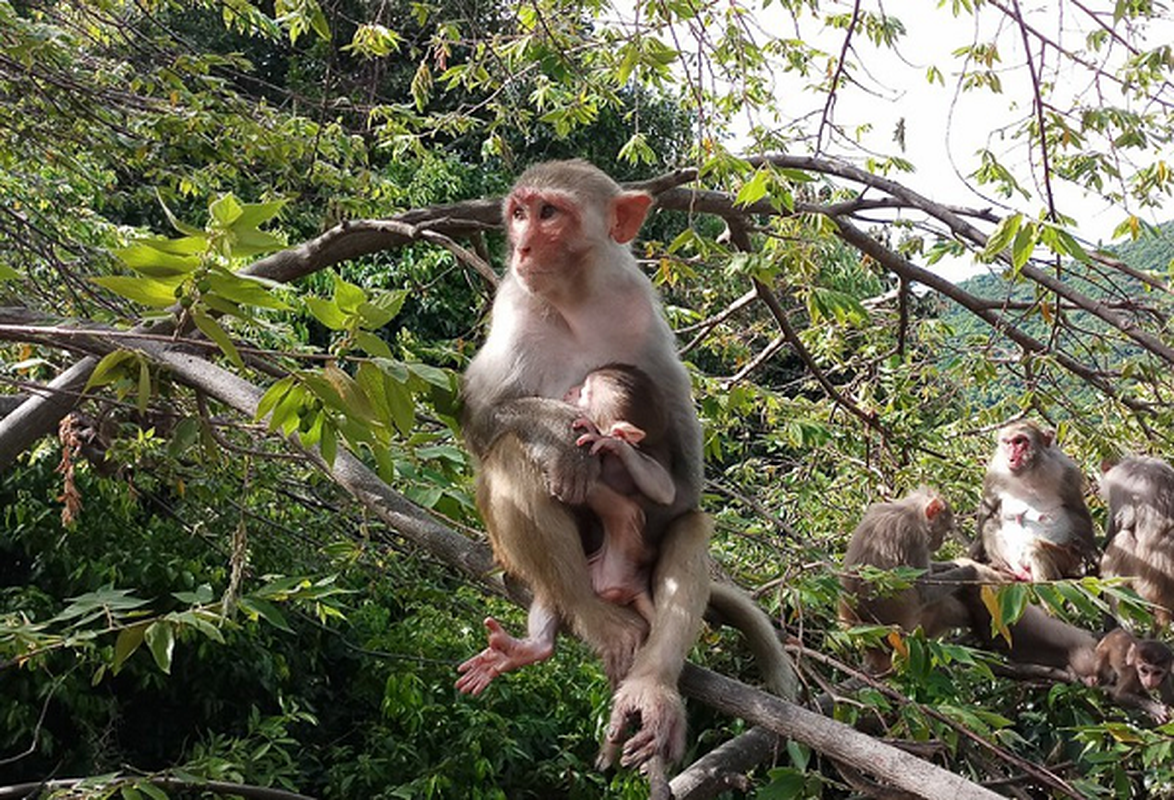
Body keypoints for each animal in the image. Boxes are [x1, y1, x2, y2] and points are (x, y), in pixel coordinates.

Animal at [840, 486, 976, 671]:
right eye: (946, 529)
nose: (940, 542)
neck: (910, 511)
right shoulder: (915, 538)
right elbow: (926, 592)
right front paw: (968, 571)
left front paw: (950, 565)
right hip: (910, 634)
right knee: (939, 604)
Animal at [967, 420, 1094, 582]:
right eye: (1007, 442)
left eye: (1019, 441)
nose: (1011, 455)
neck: (1029, 473)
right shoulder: (995, 473)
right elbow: (987, 512)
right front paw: (974, 553)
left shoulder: (1067, 470)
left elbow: (1077, 510)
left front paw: (1091, 552)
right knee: (990, 524)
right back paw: (1015, 570)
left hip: (1064, 559)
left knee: (1036, 548)